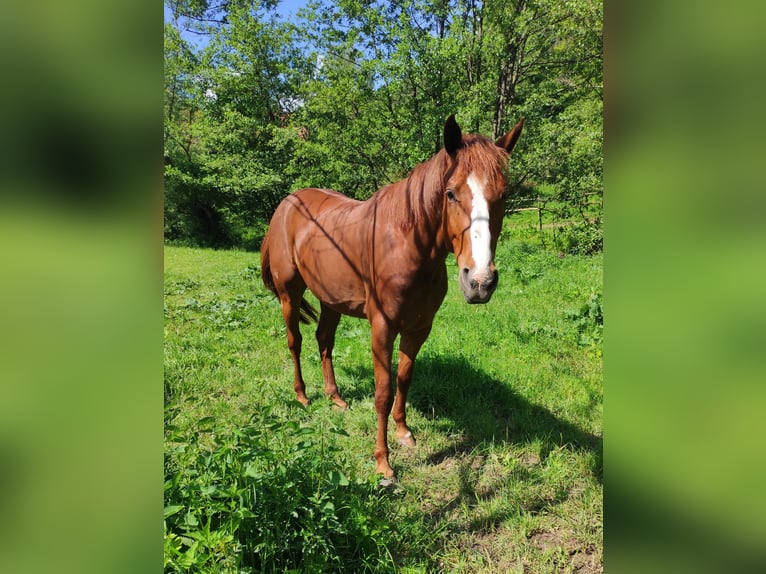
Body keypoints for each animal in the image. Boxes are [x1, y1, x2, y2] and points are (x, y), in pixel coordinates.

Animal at [260, 115, 524, 480]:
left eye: (502, 195)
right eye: (451, 194)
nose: (480, 281)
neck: (407, 245)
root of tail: (286, 205)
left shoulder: (419, 328)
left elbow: (404, 378)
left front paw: (403, 431)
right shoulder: (382, 328)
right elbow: (383, 392)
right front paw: (383, 463)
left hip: (331, 301)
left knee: (324, 340)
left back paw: (335, 397)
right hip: (290, 293)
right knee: (295, 341)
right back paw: (302, 397)